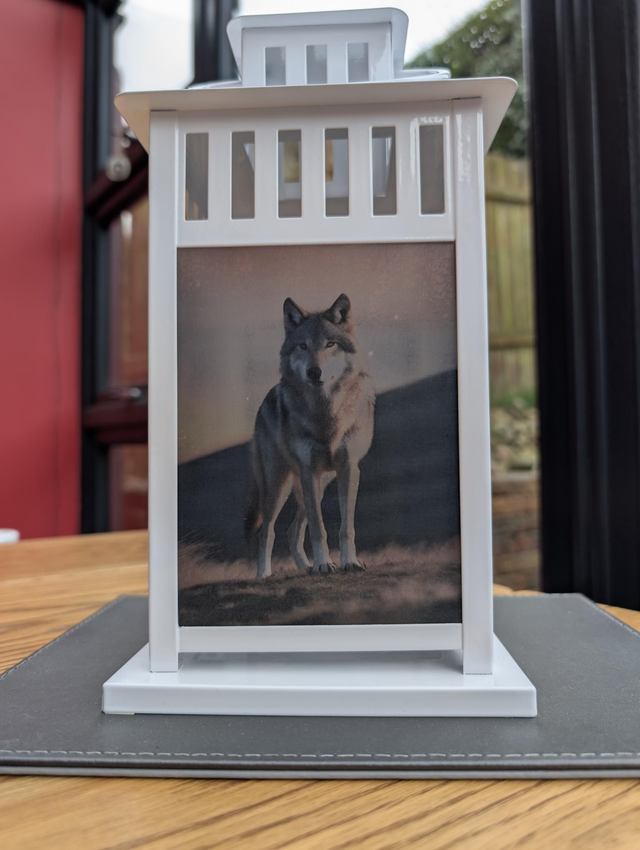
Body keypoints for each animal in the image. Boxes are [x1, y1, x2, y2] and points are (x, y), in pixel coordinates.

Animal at [245, 294, 375, 578]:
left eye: (330, 344)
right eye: (303, 346)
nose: (314, 372)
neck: (327, 415)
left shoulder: (349, 469)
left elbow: (346, 527)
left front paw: (349, 562)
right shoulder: (308, 471)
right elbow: (319, 528)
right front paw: (323, 564)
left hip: (319, 485)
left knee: (291, 530)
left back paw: (304, 567)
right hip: (280, 486)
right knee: (267, 531)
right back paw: (264, 574)